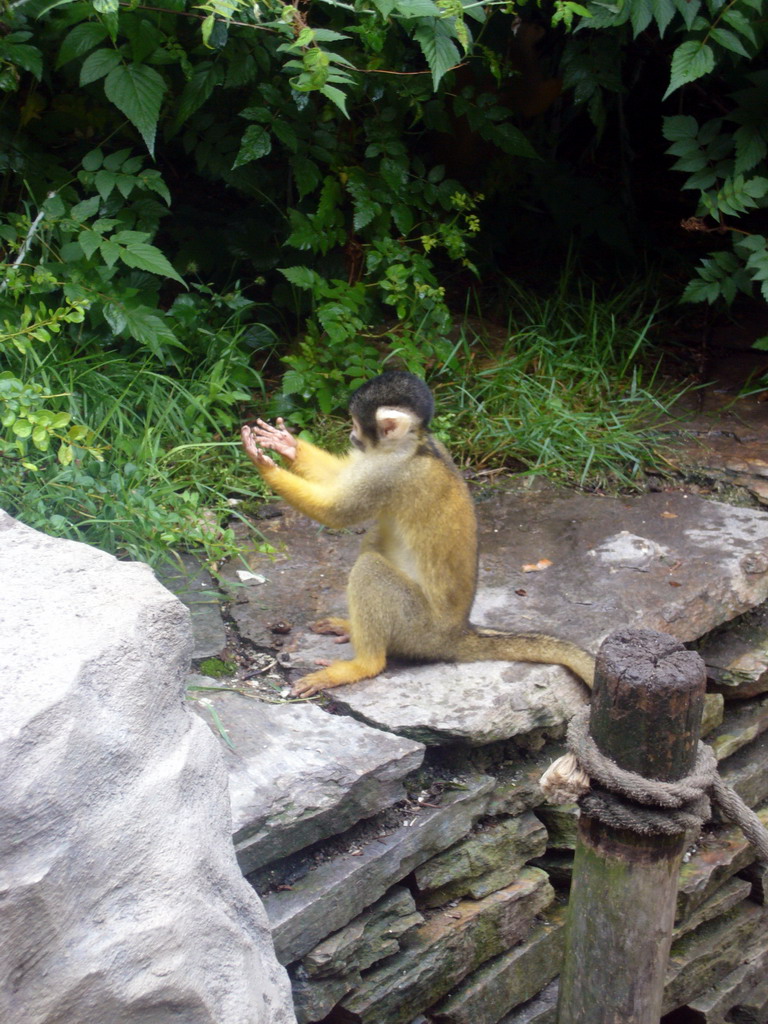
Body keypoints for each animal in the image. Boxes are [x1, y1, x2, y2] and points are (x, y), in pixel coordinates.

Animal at [240, 372, 593, 700]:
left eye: (356, 423)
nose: (352, 436)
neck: (414, 446)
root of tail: (458, 634)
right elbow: (339, 479)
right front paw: (288, 445)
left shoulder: (389, 474)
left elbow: (335, 512)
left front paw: (265, 467)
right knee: (376, 537)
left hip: (418, 628)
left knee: (371, 569)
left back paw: (363, 665)